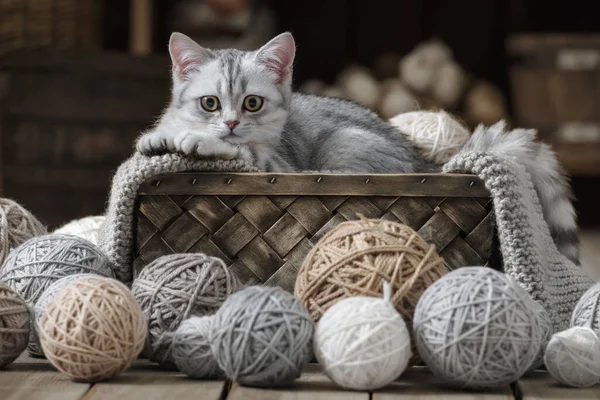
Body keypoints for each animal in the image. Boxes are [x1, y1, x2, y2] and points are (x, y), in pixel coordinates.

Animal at [137, 32, 580, 266]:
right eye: (210, 103)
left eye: (252, 104)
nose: (230, 124)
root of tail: (426, 162)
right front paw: (158, 138)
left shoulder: (274, 162)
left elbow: (239, 151)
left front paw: (200, 141)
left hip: (345, 141)